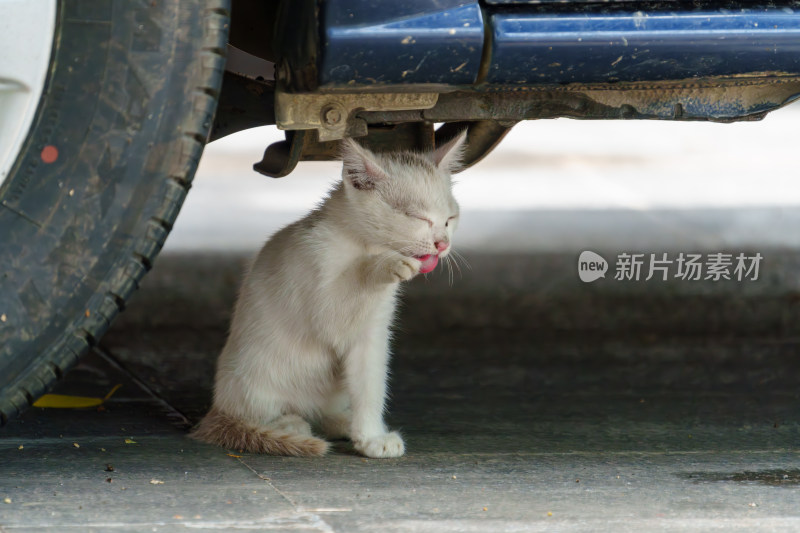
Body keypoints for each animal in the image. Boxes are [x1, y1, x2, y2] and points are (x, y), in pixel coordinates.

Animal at [191, 133, 466, 458]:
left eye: (449, 219)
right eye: (418, 217)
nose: (442, 244)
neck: (360, 242)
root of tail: (217, 409)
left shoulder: (372, 333)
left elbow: (370, 383)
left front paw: (371, 437)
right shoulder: (315, 269)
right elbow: (344, 298)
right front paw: (385, 264)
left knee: (324, 412)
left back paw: (340, 422)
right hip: (253, 377)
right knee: (256, 414)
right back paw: (288, 424)